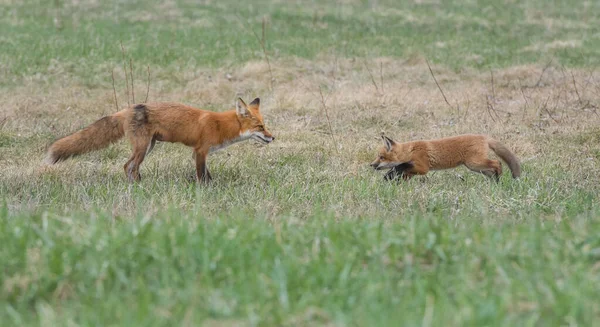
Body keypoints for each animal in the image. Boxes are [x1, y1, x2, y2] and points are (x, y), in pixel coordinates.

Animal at [45, 97, 276, 184]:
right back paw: (136, 187)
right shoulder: (200, 151)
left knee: (128, 166)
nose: (273, 137)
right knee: (129, 166)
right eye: (260, 127)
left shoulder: (201, 153)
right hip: (142, 148)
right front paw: (206, 190)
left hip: (148, 147)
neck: (220, 125)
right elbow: (201, 175)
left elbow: (207, 174)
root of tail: (127, 109)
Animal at [370, 134, 520, 182]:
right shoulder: (413, 170)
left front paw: (390, 176)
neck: (410, 151)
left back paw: (500, 181)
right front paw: (391, 180)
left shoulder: (423, 167)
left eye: (381, 157)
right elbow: (401, 172)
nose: (371, 165)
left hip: (475, 163)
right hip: (476, 167)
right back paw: (495, 183)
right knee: (492, 170)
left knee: (497, 163)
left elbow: (402, 166)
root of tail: (484, 136)